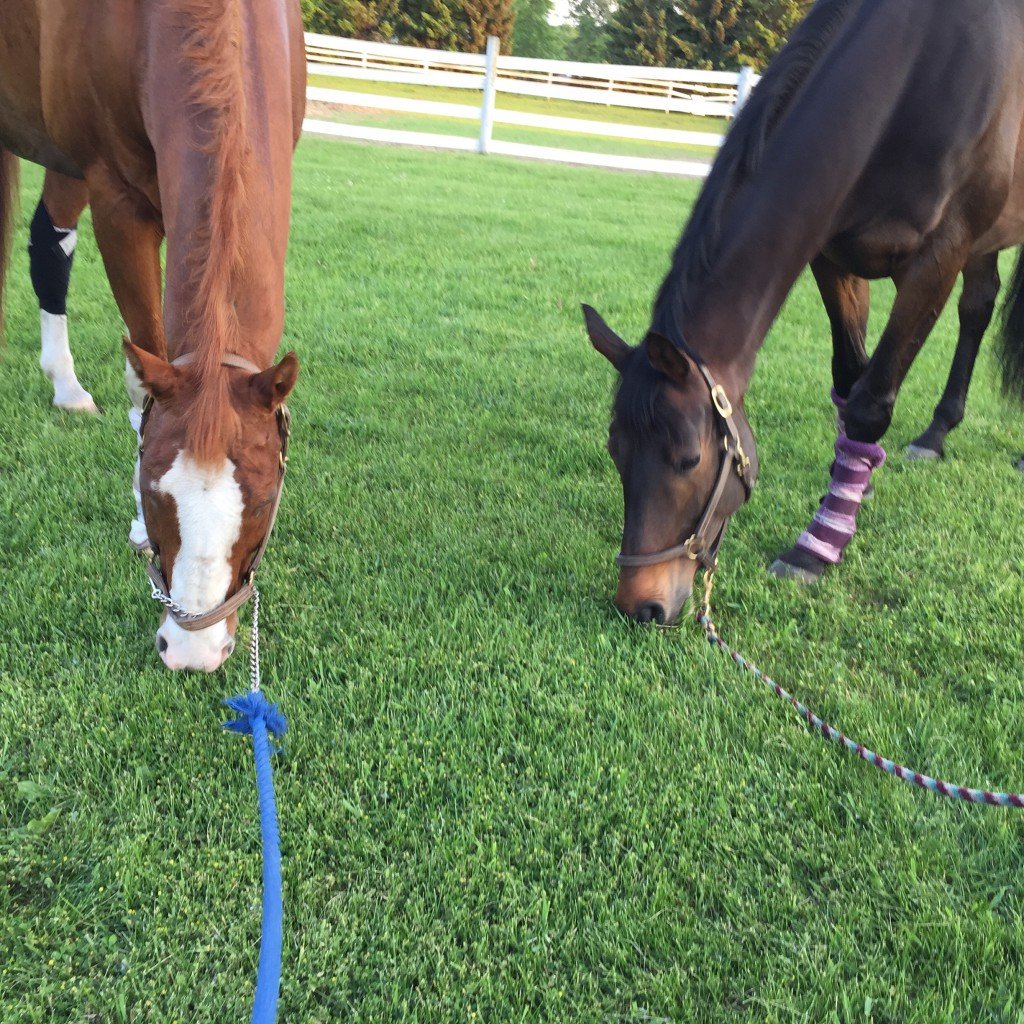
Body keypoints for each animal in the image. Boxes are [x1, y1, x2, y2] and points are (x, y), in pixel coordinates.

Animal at [0, 2, 305, 671]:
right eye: (151, 490)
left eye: (264, 501)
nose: (192, 651)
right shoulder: (117, 197)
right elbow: (146, 373)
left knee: (49, 238)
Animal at [585, 0, 1024, 622]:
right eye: (614, 450)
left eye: (689, 460)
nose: (639, 605)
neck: (914, 76)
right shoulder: (833, 254)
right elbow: (849, 378)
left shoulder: (938, 258)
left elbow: (869, 404)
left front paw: (815, 548)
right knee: (979, 303)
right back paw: (938, 430)